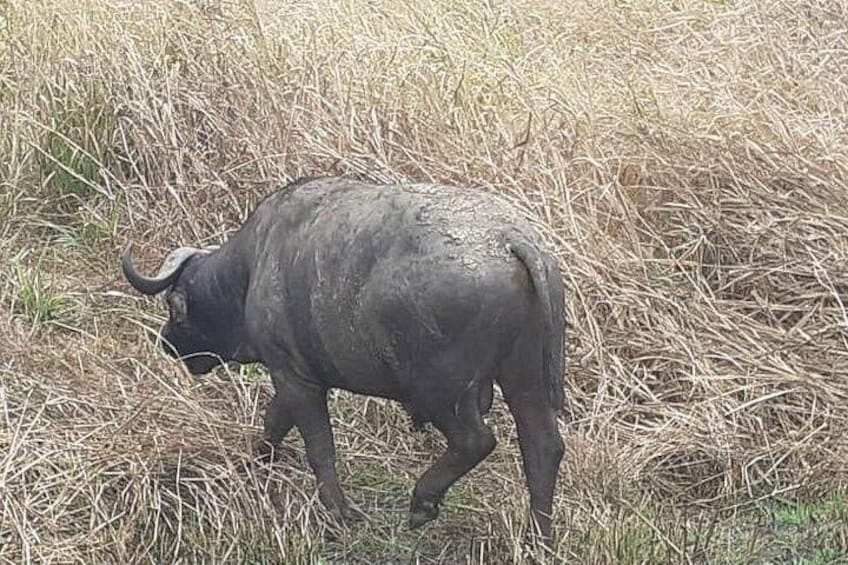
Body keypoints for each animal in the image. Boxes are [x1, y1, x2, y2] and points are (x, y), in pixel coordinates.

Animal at [121, 176, 566, 546]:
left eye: (174, 307)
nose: (166, 341)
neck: (253, 265)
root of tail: (511, 239)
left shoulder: (295, 378)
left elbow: (318, 446)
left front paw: (337, 509)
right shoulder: (295, 377)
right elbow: (274, 421)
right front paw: (258, 462)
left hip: (443, 391)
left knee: (475, 441)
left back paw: (422, 502)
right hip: (523, 379)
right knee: (543, 447)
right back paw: (538, 537)